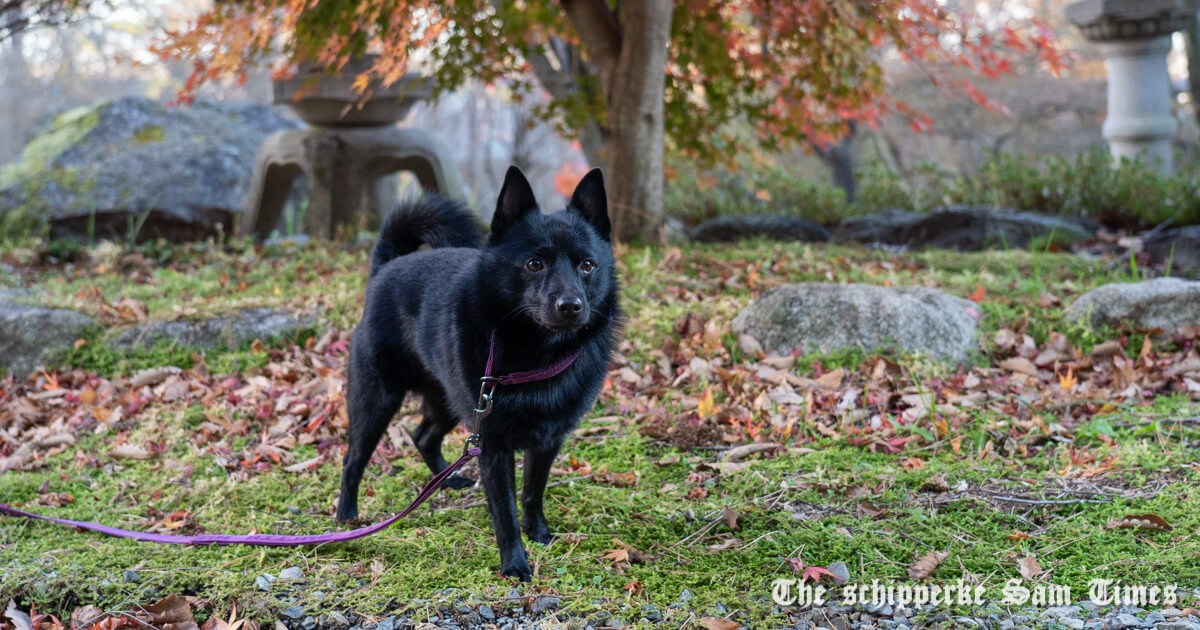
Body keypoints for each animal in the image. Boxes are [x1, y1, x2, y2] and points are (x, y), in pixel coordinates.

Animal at [336, 164, 619, 578]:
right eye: (535, 263)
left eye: (587, 265)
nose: (571, 306)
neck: (536, 358)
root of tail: (385, 268)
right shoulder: (494, 447)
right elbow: (505, 512)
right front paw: (515, 564)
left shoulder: (546, 440)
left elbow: (532, 493)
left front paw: (539, 533)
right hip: (376, 401)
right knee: (353, 458)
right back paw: (345, 517)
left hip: (451, 403)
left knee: (423, 436)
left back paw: (447, 477)